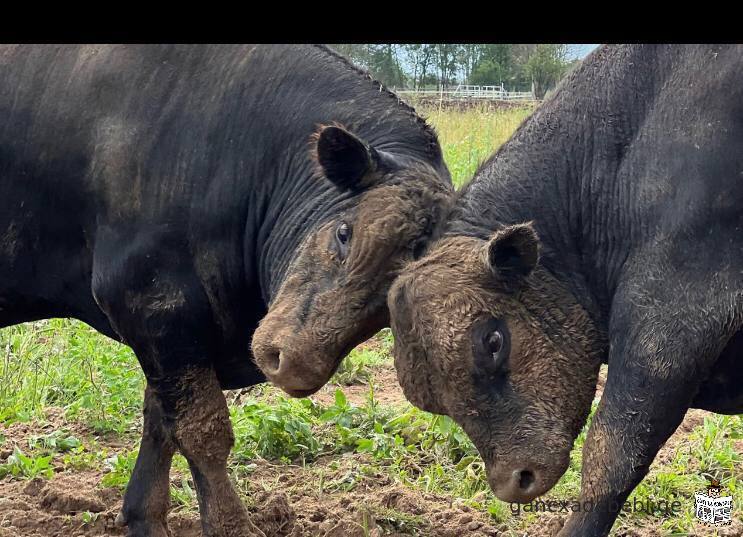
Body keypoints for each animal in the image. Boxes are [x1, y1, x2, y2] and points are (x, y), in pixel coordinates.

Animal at [0, 46, 454, 536]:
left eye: (390, 305)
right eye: (344, 233)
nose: (292, 362)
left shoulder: (179, 335)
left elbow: (161, 423)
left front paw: (144, 517)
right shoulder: (152, 303)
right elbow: (203, 430)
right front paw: (230, 524)